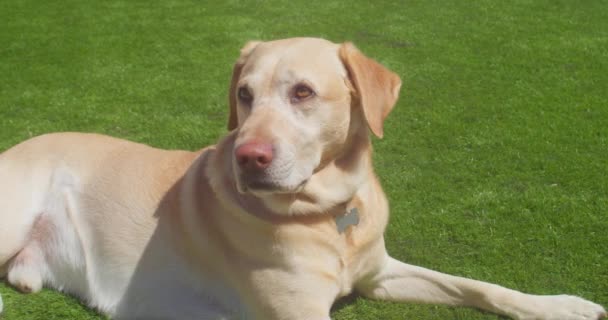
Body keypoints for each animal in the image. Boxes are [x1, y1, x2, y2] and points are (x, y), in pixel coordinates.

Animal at [0, 38, 604, 320]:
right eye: (244, 94)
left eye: (303, 92)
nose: (248, 156)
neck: (328, 214)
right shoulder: (302, 312)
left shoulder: (379, 273)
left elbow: (481, 286)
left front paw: (561, 305)